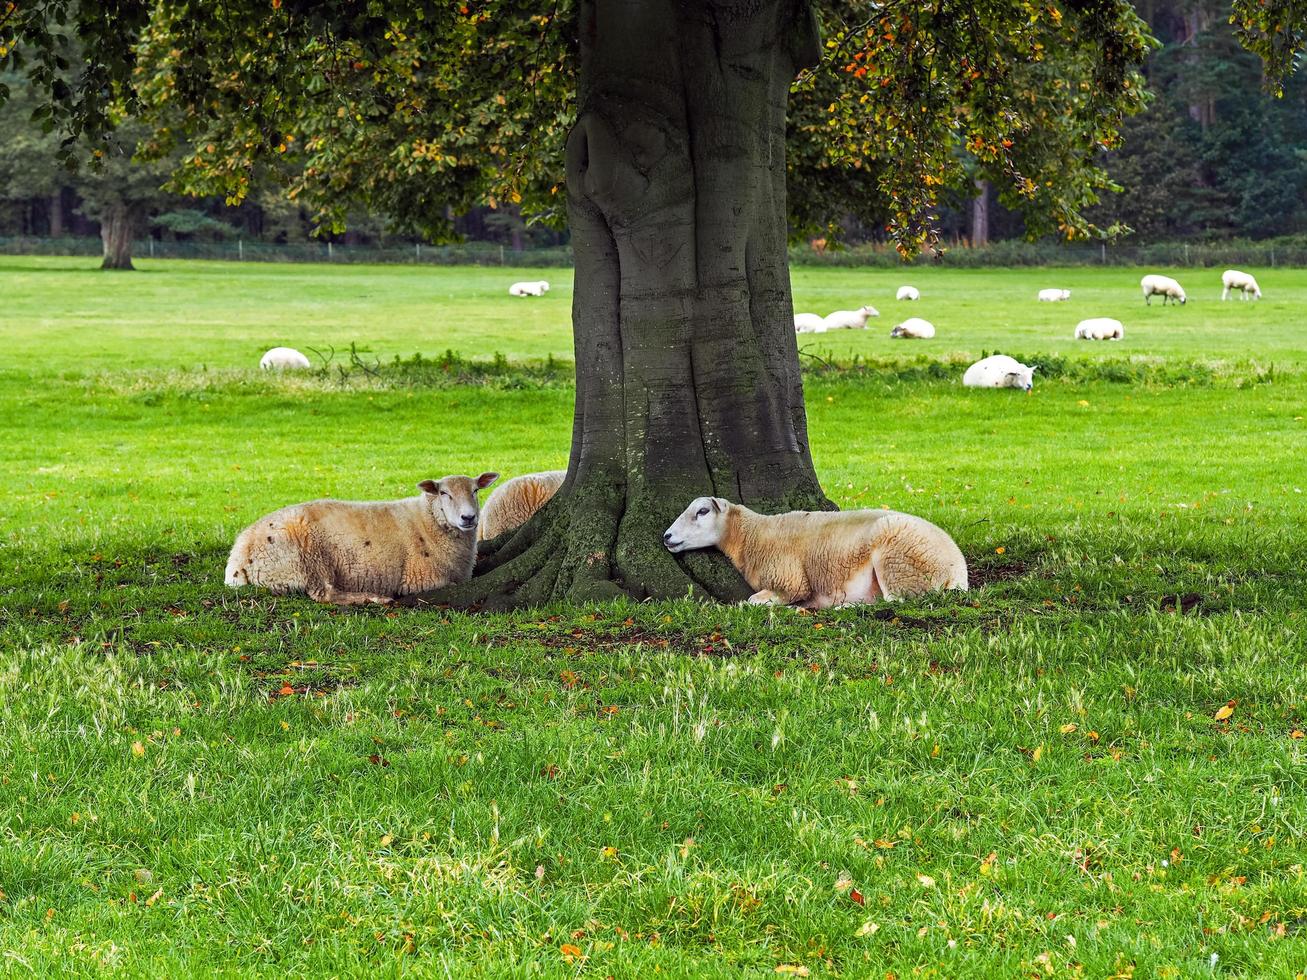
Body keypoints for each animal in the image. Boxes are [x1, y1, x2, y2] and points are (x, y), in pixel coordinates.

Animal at [222, 473, 496, 606]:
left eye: (475, 491)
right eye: (444, 493)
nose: (469, 517)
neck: (428, 520)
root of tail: (237, 558)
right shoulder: (423, 579)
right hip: (305, 559)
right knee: (325, 595)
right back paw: (373, 598)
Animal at [663, 499, 972, 606]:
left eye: (702, 511)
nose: (666, 536)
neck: (753, 535)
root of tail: (958, 570)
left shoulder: (790, 581)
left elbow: (751, 601)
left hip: (899, 563)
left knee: (897, 601)